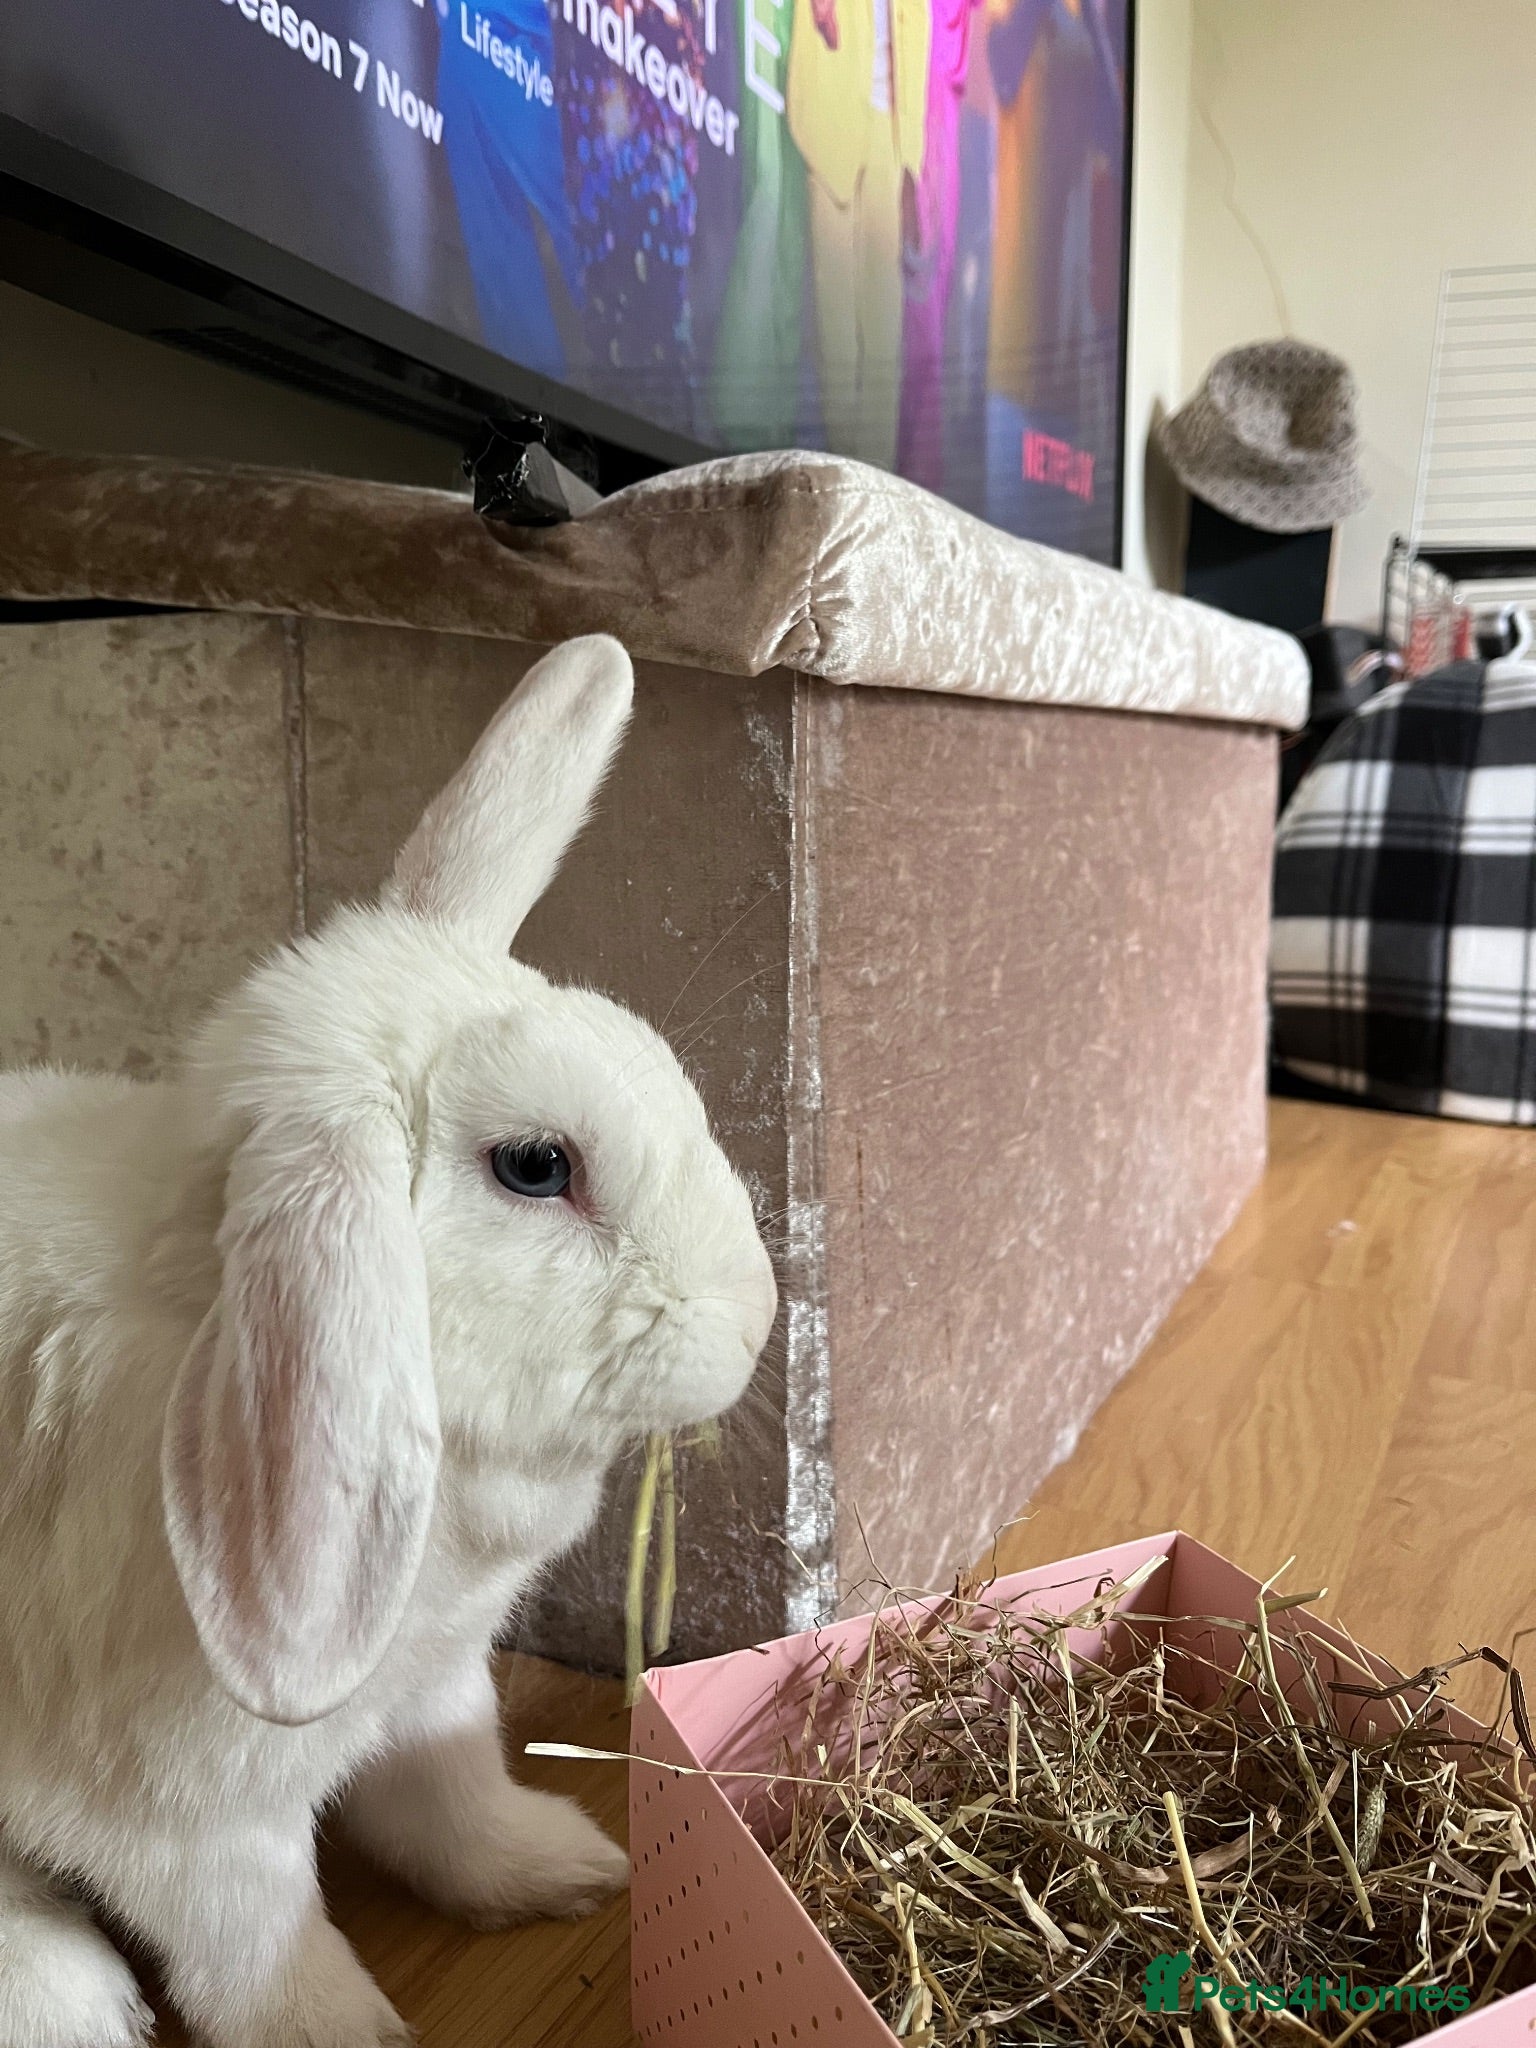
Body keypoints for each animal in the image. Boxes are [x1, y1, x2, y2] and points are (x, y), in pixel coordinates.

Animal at [0, 634, 778, 2048]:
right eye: (537, 1165)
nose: (758, 1315)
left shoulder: (438, 1683)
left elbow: (449, 1794)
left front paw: (558, 1869)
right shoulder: (186, 1821)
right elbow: (258, 1939)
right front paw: (340, 2028)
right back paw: (66, 1995)